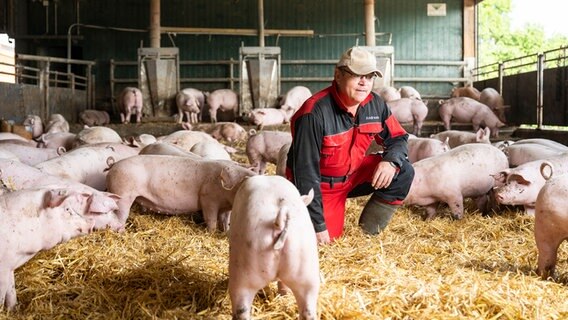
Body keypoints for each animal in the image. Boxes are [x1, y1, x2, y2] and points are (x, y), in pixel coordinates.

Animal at [105, 154, 256, 230]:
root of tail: (113, 165)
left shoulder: (225, 207)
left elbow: (225, 221)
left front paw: (225, 232)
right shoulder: (208, 200)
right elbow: (211, 220)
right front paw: (211, 233)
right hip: (123, 194)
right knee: (120, 217)